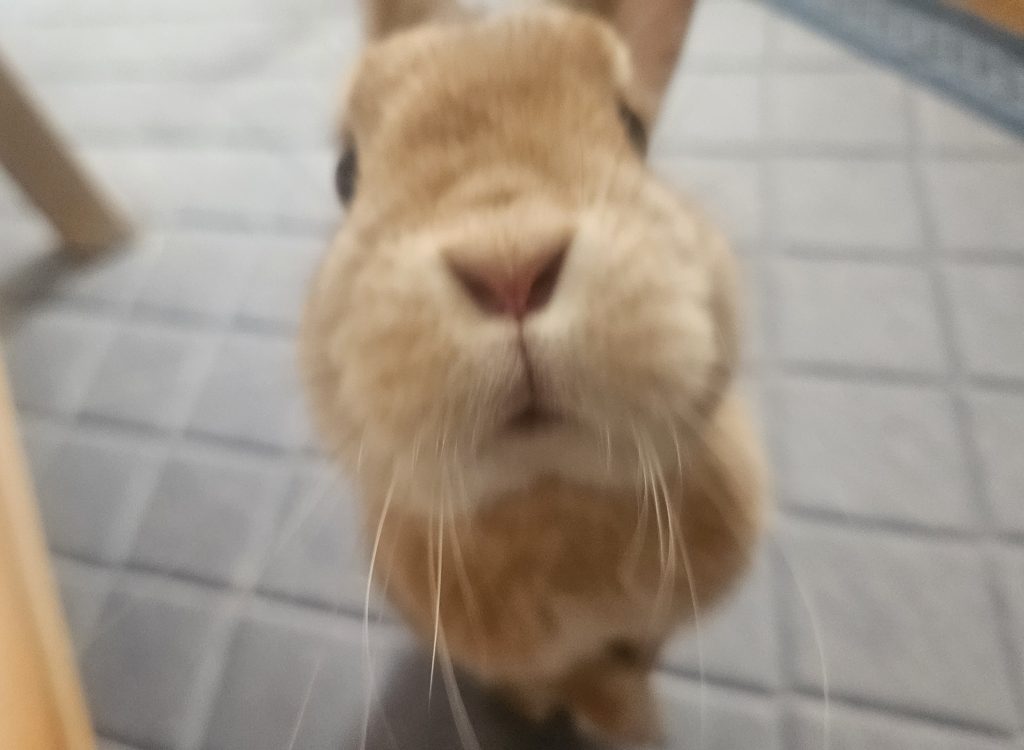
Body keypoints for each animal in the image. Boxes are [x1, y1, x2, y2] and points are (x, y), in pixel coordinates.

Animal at [300, 0, 767, 744]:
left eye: (633, 129)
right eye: (346, 174)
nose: (511, 270)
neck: (553, 498)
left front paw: (635, 710)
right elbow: (571, 679)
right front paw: (619, 718)